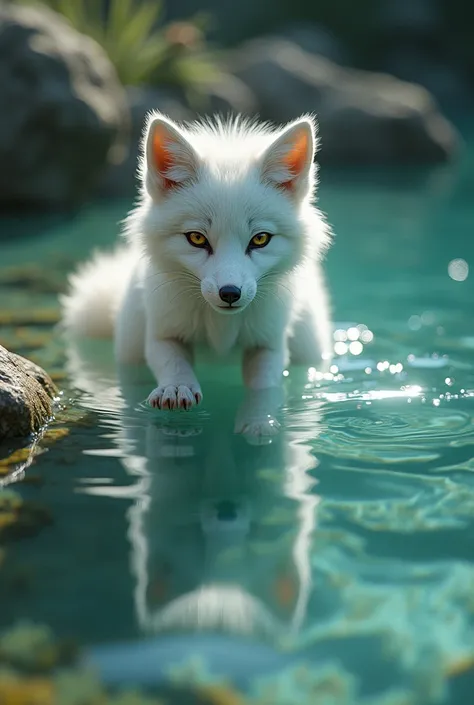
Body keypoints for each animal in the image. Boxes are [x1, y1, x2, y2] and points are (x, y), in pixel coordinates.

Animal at [60, 112, 334, 432]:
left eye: (260, 239)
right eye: (197, 238)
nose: (230, 293)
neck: (220, 330)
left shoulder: (269, 344)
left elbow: (264, 388)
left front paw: (259, 420)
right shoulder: (162, 332)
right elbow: (172, 362)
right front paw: (177, 389)